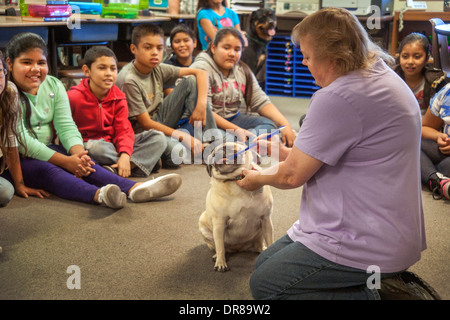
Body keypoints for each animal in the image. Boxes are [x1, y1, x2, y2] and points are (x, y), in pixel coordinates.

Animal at [199, 141, 272, 272]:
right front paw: (221, 262)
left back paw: (261, 249)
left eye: (228, 148)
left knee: (258, 242)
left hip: (260, 232)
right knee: (219, 246)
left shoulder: (266, 219)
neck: (234, 180)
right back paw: (217, 256)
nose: (217, 153)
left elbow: (270, 241)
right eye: (212, 154)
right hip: (204, 226)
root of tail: (238, 248)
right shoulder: (219, 224)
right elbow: (220, 246)